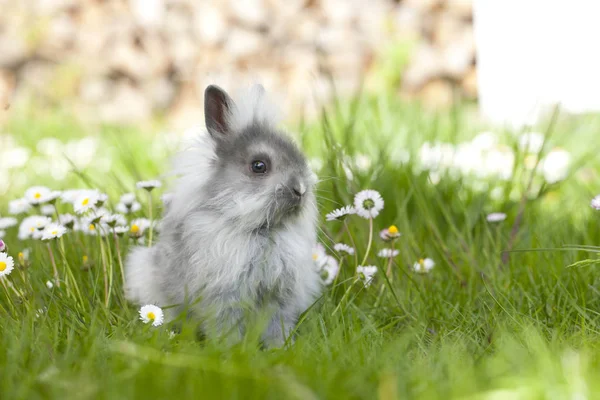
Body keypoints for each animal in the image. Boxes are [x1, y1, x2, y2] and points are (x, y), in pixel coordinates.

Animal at [126, 84, 322, 346]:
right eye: (259, 166)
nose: (301, 189)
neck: (262, 232)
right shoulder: (223, 296)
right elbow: (226, 325)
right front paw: (230, 349)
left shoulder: (280, 297)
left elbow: (275, 326)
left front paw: (280, 348)